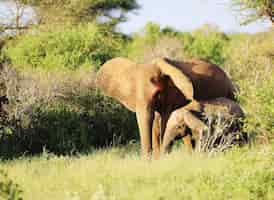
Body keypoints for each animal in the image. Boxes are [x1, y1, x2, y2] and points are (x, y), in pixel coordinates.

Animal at [94, 56, 235, 158]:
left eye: (157, 93)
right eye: (132, 94)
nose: (147, 161)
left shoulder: (172, 95)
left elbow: (164, 121)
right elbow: (155, 123)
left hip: (230, 92)